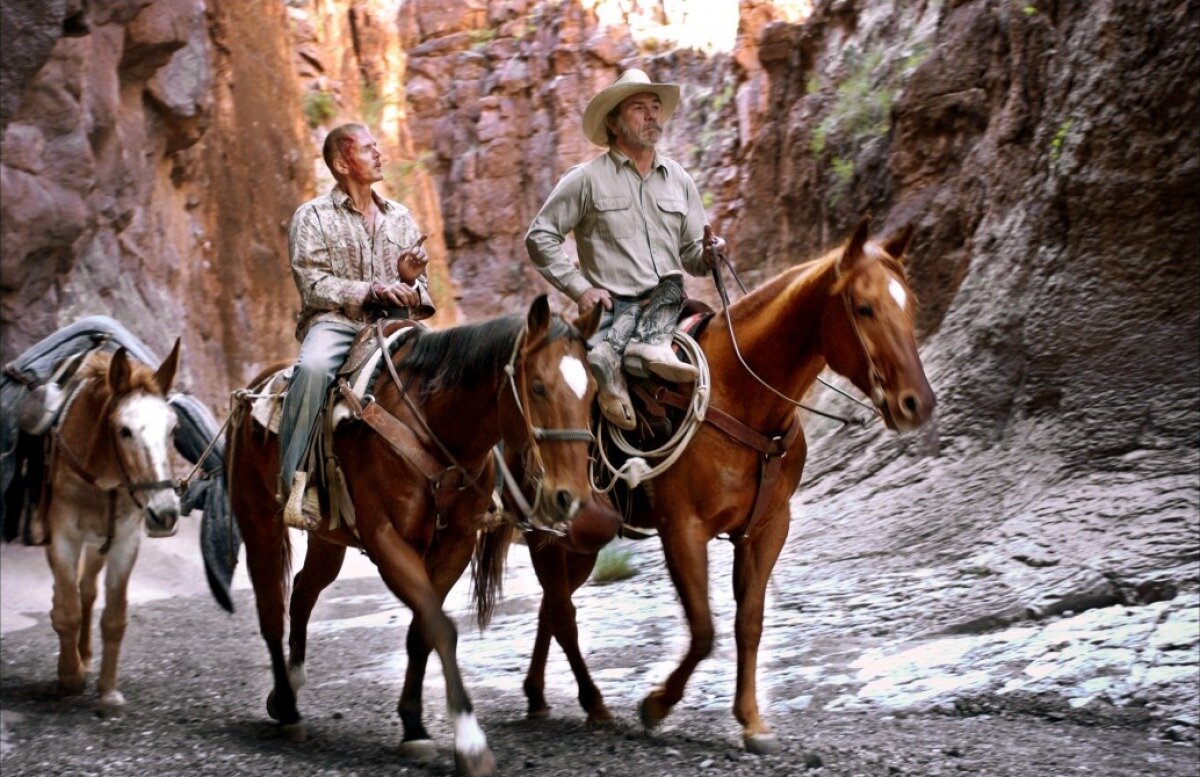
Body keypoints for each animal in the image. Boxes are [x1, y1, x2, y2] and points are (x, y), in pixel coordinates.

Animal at [42, 342, 180, 705]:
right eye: (124, 430)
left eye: (173, 429)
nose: (165, 514)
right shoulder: (62, 537)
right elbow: (67, 610)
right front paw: (70, 677)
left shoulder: (125, 541)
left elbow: (114, 617)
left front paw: (107, 692)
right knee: (70, 593)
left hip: (98, 544)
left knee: (87, 589)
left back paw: (86, 654)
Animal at [225, 294, 595, 772]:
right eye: (537, 387)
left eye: (592, 392)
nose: (570, 497)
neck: (435, 428)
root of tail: (249, 393)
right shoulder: (387, 541)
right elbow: (440, 627)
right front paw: (470, 744)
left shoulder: (455, 545)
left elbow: (422, 630)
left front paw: (414, 727)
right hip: (259, 525)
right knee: (271, 608)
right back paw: (288, 709)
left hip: (328, 538)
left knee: (304, 590)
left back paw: (290, 684)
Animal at [516, 218, 936, 753]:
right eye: (864, 307)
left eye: (911, 304)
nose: (916, 403)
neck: (744, 396)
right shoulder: (682, 530)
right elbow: (703, 630)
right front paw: (656, 705)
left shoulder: (767, 528)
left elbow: (749, 622)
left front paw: (752, 720)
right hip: (545, 531)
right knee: (562, 612)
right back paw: (591, 704)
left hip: (582, 541)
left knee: (552, 606)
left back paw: (538, 695)